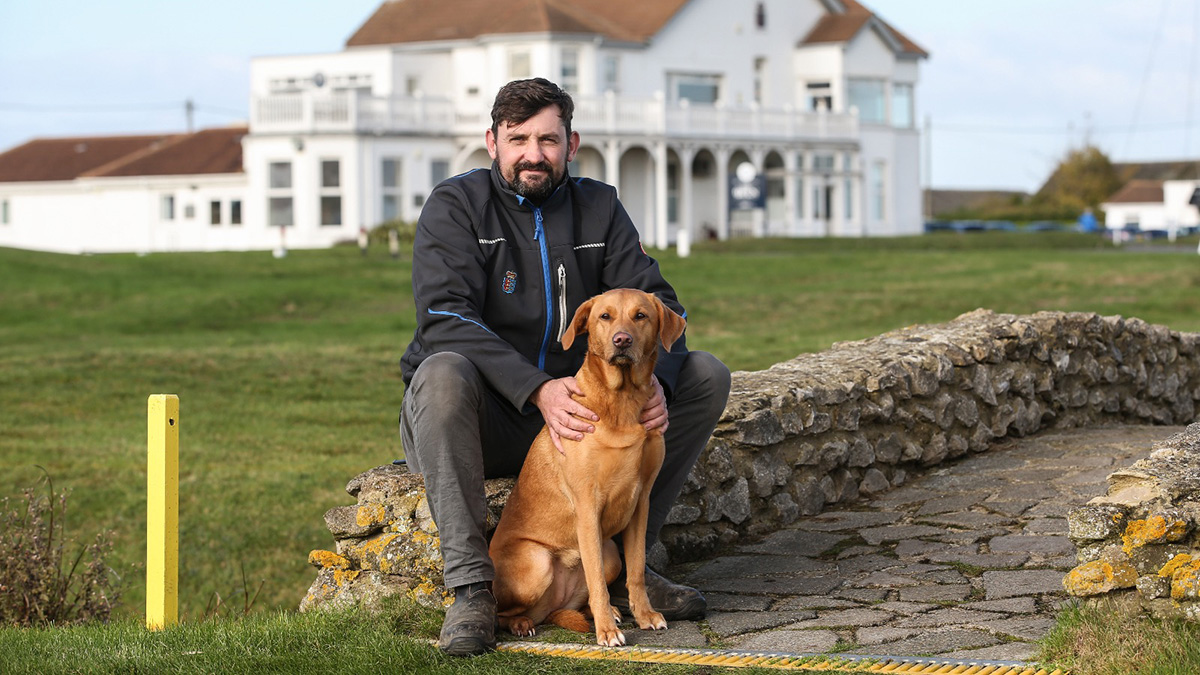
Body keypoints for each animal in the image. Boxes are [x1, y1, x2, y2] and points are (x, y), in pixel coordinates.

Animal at [487, 285, 691, 643]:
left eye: (641, 315)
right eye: (604, 316)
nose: (622, 340)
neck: (622, 400)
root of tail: (551, 605)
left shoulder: (640, 503)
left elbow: (635, 570)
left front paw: (644, 614)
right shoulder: (587, 506)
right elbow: (597, 582)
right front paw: (606, 632)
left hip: (609, 553)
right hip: (537, 561)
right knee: (505, 612)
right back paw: (521, 623)